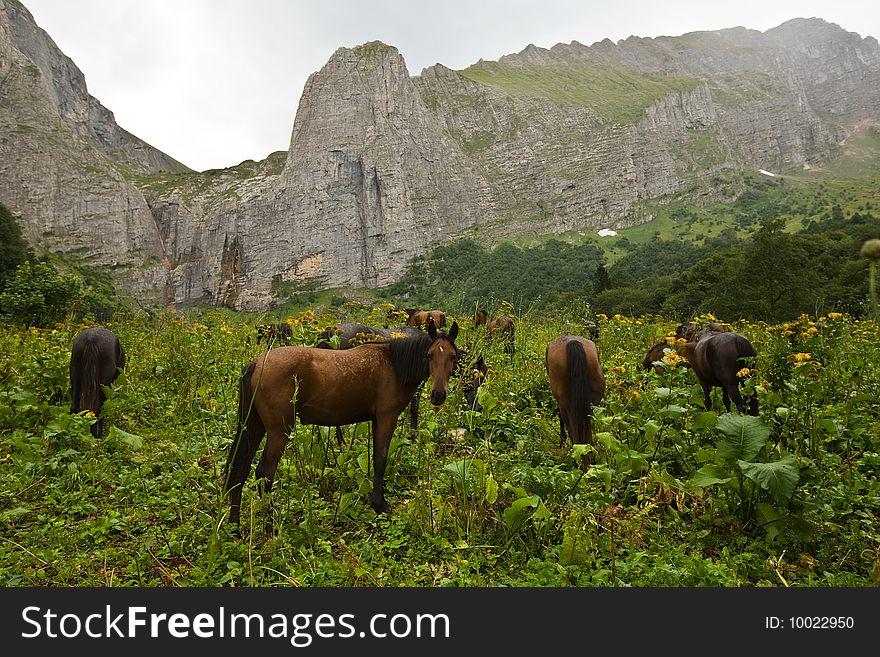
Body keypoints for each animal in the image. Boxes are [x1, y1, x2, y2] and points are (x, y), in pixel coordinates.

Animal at [223, 316, 460, 528]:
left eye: (452, 356)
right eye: (429, 355)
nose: (438, 395)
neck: (392, 364)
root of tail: (257, 363)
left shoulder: (376, 420)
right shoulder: (386, 417)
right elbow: (380, 460)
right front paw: (379, 504)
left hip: (254, 426)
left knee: (240, 470)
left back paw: (235, 526)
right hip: (278, 432)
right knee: (264, 473)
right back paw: (271, 526)